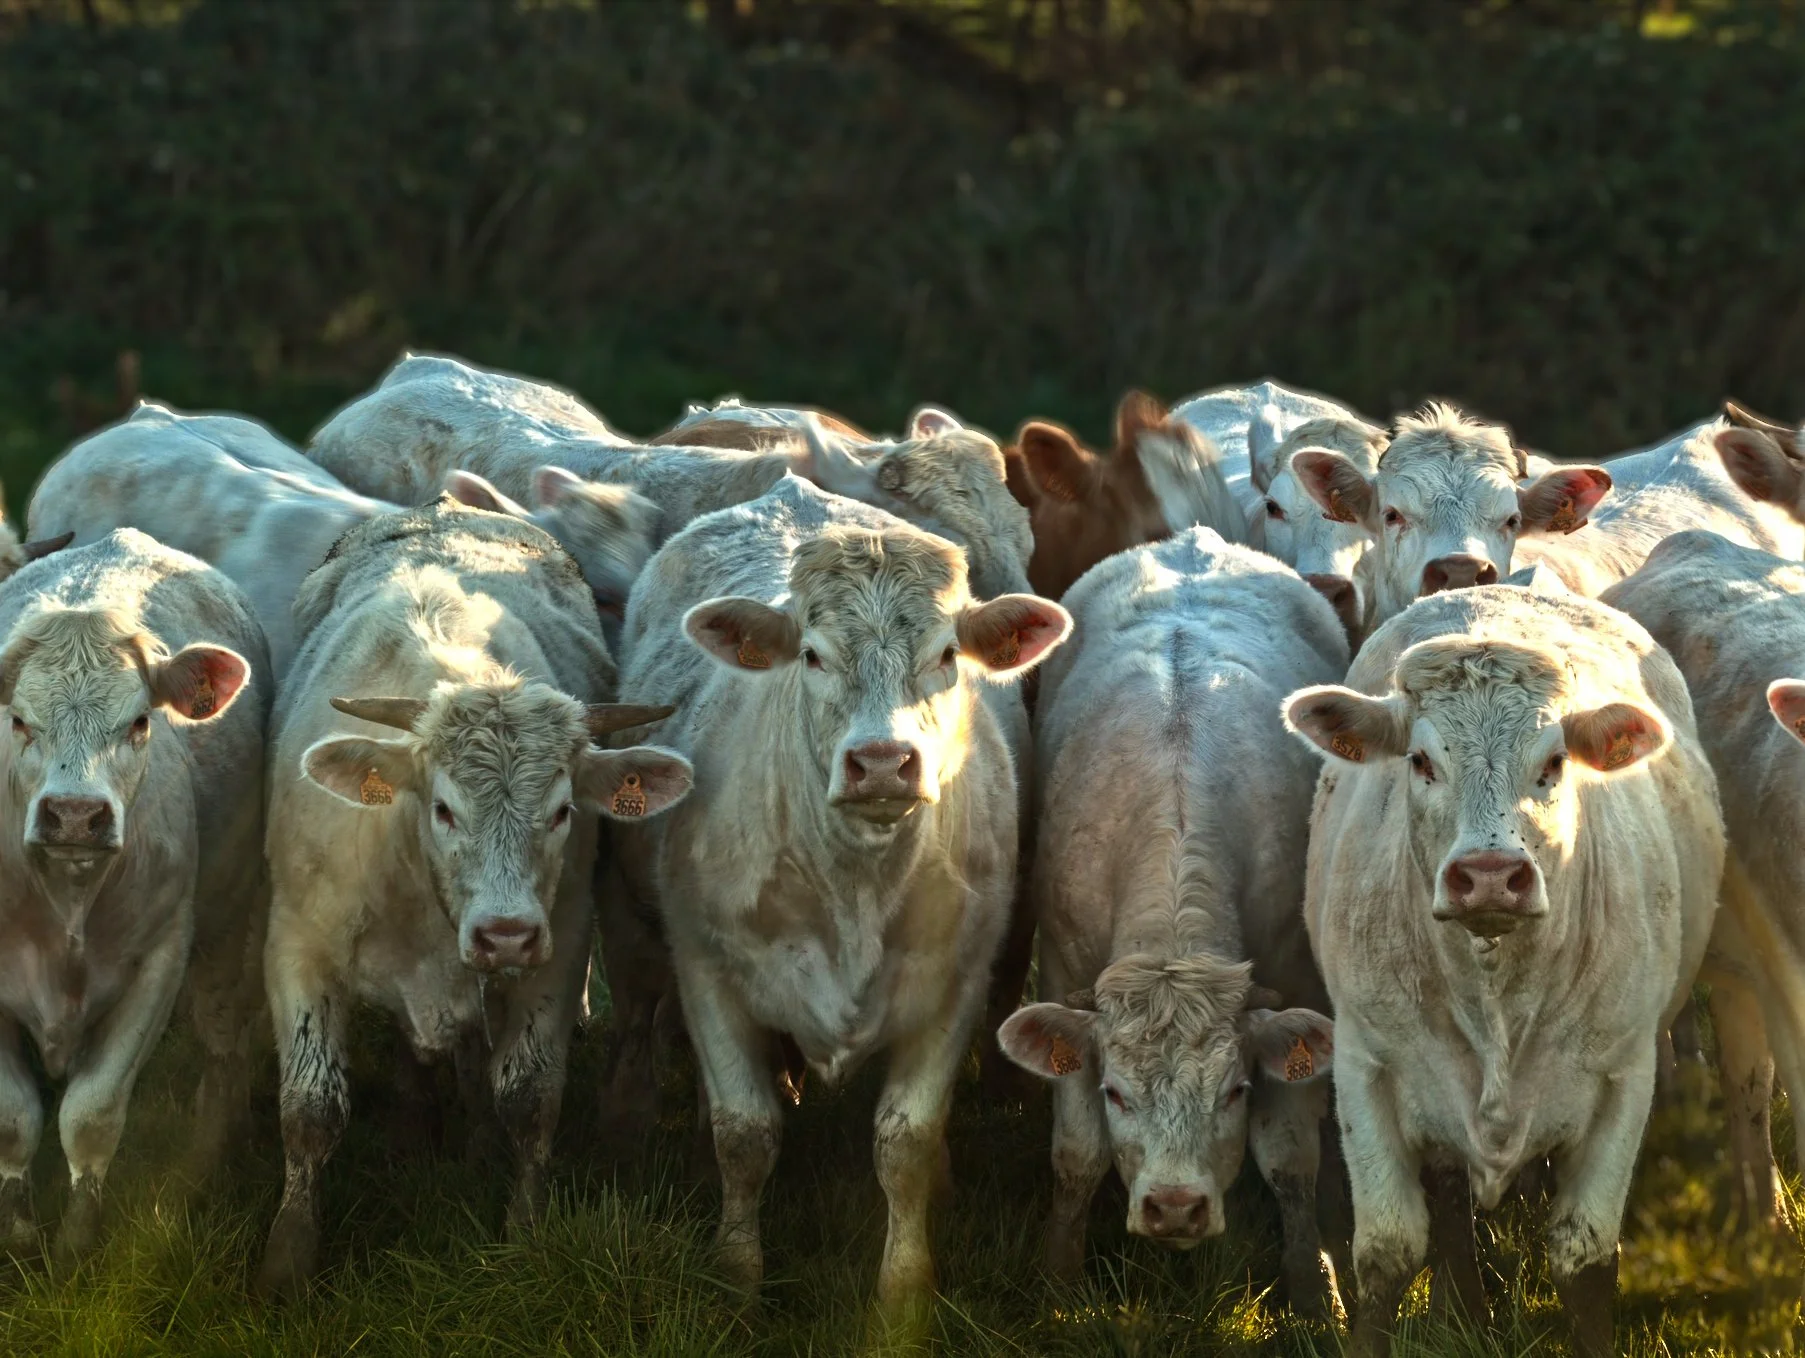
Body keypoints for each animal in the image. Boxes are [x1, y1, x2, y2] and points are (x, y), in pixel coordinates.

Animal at [0, 529, 269, 1260]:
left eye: (140, 722)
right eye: (19, 722)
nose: (74, 815)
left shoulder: (159, 962)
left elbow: (90, 1114)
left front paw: (74, 1243)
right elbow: (15, 1119)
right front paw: (20, 1232)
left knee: (224, 1048)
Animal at [254, 498, 693, 1299]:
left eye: (562, 811)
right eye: (444, 809)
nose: (505, 934)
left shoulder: (558, 954)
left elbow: (529, 1097)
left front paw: (525, 1228)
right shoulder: (298, 947)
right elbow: (311, 1109)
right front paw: (288, 1257)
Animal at [609, 475, 1069, 1307]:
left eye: (946, 654)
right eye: (813, 656)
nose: (882, 762)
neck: (853, 887)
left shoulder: (954, 986)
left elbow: (905, 1143)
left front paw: (903, 1289)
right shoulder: (706, 973)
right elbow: (743, 1132)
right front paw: (737, 1274)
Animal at [996, 528, 1348, 1312]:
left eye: (1236, 1091)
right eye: (1115, 1093)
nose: (1176, 1207)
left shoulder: (1298, 983)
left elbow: (1290, 1162)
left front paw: (1314, 1292)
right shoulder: (1062, 971)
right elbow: (1077, 1154)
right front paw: (1056, 1279)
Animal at [1283, 585, 1722, 1357]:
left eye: (1553, 763)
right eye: (1421, 762)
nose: (1489, 875)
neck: (1494, 996)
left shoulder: (1623, 1077)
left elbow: (1583, 1259)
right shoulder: (1366, 1067)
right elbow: (1388, 1251)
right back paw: (1464, 1309)